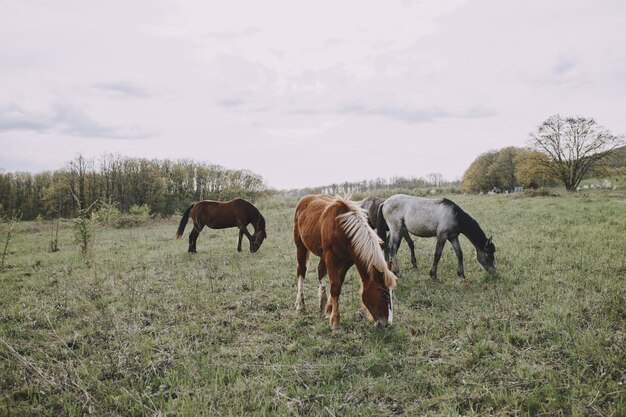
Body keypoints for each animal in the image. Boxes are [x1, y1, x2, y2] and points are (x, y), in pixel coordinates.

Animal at [292, 194, 394, 328]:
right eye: (384, 295)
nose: (388, 324)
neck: (342, 229)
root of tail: (305, 198)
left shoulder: (346, 262)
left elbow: (338, 283)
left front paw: (329, 310)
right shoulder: (330, 257)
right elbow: (335, 286)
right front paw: (335, 322)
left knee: (320, 271)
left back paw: (322, 304)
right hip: (300, 246)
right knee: (301, 271)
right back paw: (300, 304)